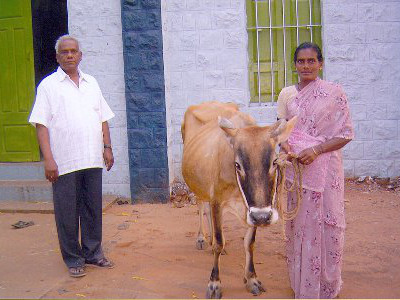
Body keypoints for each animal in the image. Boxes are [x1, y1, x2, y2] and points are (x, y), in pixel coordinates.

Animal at [181, 101, 296, 298]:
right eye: (237, 164)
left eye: (274, 162)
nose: (263, 217)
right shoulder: (217, 200)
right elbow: (219, 242)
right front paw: (214, 284)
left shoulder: (252, 210)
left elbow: (249, 243)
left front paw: (251, 279)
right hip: (199, 186)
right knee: (201, 206)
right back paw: (202, 239)